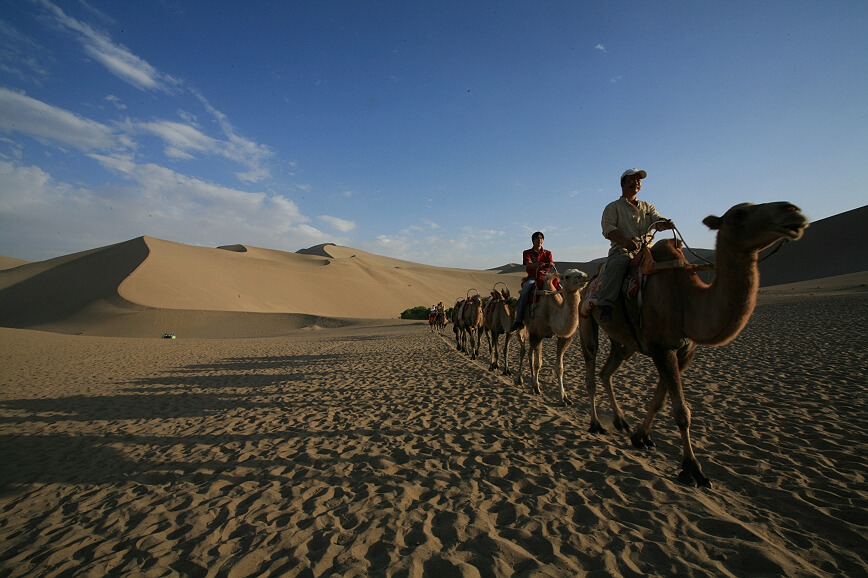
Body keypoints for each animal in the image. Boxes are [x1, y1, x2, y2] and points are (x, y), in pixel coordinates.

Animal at [516, 268, 588, 402]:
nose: (584, 276)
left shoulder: (563, 337)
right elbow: (538, 363)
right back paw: (519, 379)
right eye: (567, 276)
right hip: (522, 326)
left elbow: (559, 367)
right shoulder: (537, 334)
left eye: (579, 271)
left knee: (529, 354)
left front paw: (563, 397)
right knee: (522, 350)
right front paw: (536, 388)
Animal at [580, 200, 812, 484]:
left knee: (607, 371)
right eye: (738, 213)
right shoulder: (661, 347)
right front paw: (693, 469)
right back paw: (595, 424)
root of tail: (590, 282)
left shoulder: (685, 352)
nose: (791, 210)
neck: (687, 301)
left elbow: (660, 400)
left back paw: (621, 421)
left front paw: (641, 437)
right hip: (587, 320)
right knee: (591, 371)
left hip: (625, 342)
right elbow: (681, 411)